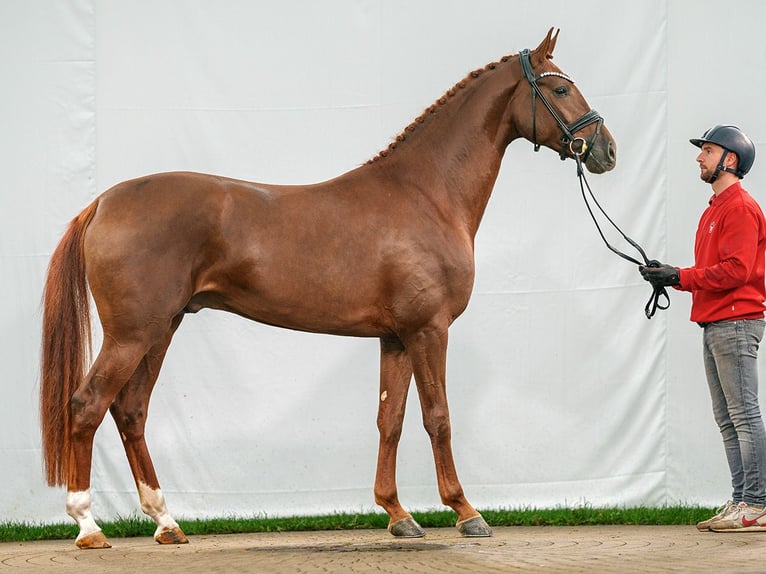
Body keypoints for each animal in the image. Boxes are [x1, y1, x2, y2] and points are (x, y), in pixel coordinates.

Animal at [40, 29, 616, 552]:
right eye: (560, 88)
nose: (606, 150)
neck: (427, 193)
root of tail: (103, 202)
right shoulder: (429, 330)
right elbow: (438, 418)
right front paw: (466, 512)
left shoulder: (396, 337)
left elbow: (390, 420)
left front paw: (397, 515)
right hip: (132, 334)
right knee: (87, 405)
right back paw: (88, 527)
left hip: (161, 329)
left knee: (131, 410)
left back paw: (166, 523)